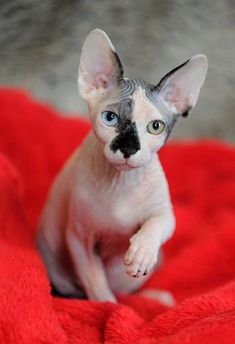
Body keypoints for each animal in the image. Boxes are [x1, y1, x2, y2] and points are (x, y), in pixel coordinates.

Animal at [36, 30, 207, 304]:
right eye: (110, 118)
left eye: (155, 126)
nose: (128, 149)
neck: (121, 183)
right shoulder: (79, 238)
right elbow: (96, 283)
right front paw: (108, 308)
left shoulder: (164, 212)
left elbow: (159, 223)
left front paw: (142, 252)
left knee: (130, 290)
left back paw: (157, 297)